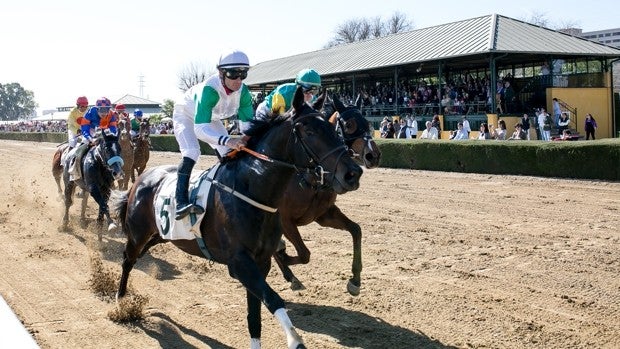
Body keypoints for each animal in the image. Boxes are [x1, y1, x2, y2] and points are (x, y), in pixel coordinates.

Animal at [111, 87, 364, 348]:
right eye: (311, 132)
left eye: (334, 129)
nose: (353, 173)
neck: (251, 188)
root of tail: (141, 180)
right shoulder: (240, 262)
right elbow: (273, 299)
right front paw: (295, 340)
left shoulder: (261, 262)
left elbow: (255, 314)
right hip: (138, 233)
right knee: (128, 260)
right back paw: (121, 302)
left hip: (161, 235)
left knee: (139, 255)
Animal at [274, 94, 380, 294]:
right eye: (349, 125)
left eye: (368, 123)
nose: (374, 155)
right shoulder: (284, 220)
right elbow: (304, 254)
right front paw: (283, 256)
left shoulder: (323, 214)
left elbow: (356, 230)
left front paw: (355, 280)